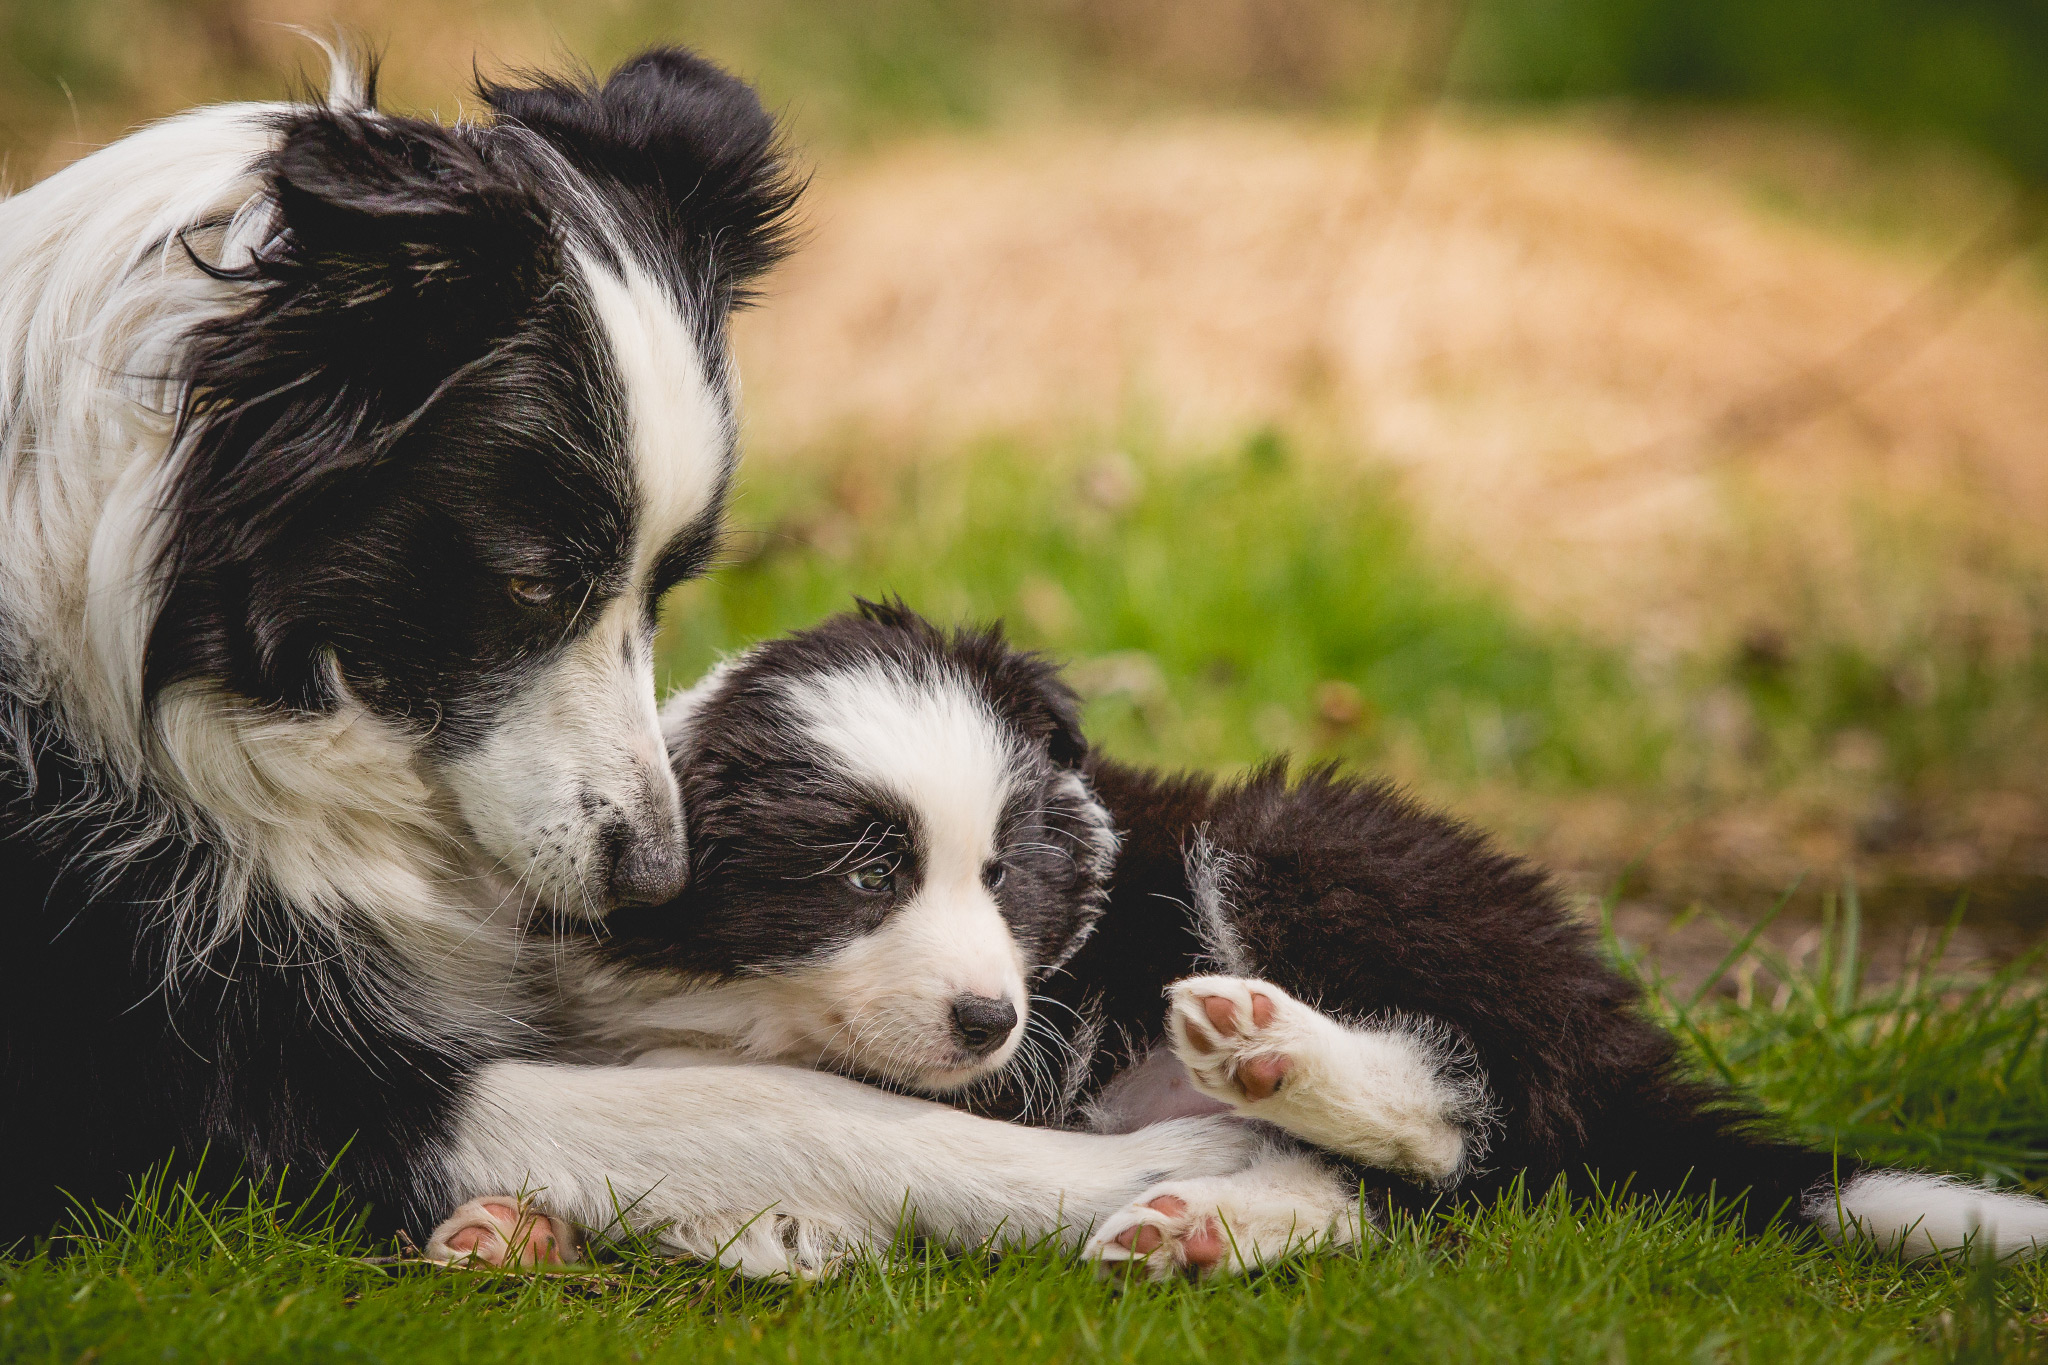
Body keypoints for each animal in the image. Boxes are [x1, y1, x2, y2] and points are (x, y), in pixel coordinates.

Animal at [0, 50, 1253, 1268]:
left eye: (667, 586)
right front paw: (1170, 1164)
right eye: (533, 583)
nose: (657, 876)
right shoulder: (230, 1091)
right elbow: (768, 1104)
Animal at [460, 601, 2048, 1277]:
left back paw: (1267, 1055)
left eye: (1007, 870)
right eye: (863, 871)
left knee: (1465, 1134)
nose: (987, 1020)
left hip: (1297, 840)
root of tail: (1614, 1049)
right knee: (1394, 1196)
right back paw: (1204, 1222)